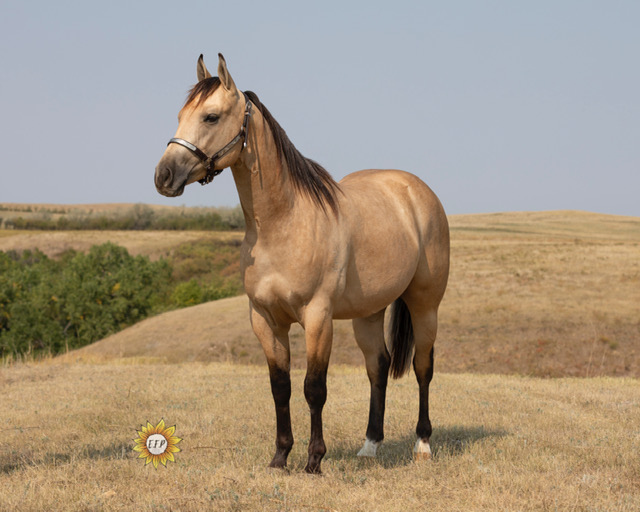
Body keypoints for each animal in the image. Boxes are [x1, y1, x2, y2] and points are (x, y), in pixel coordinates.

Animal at [155, 54, 450, 474]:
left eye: (211, 117)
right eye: (181, 115)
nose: (163, 176)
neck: (283, 224)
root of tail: (415, 191)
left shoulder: (317, 317)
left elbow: (314, 387)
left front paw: (314, 460)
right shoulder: (264, 320)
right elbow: (281, 387)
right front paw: (280, 457)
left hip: (425, 304)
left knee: (423, 366)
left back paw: (422, 444)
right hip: (369, 313)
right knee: (378, 367)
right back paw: (370, 446)